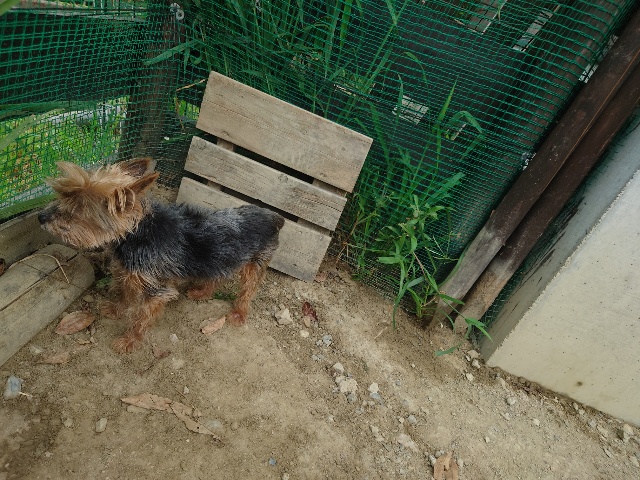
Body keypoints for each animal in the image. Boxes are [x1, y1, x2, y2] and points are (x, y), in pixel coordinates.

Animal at [38, 158, 284, 353]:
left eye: (77, 210)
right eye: (63, 198)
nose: (41, 217)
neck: (135, 234)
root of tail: (273, 216)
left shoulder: (156, 289)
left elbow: (141, 318)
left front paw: (129, 341)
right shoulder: (129, 274)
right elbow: (125, 294)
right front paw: (117, 310)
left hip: (254, 262)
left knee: (248, 290)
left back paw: (239, 314)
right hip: (222, 257)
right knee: (218, 275)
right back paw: (202, 292)